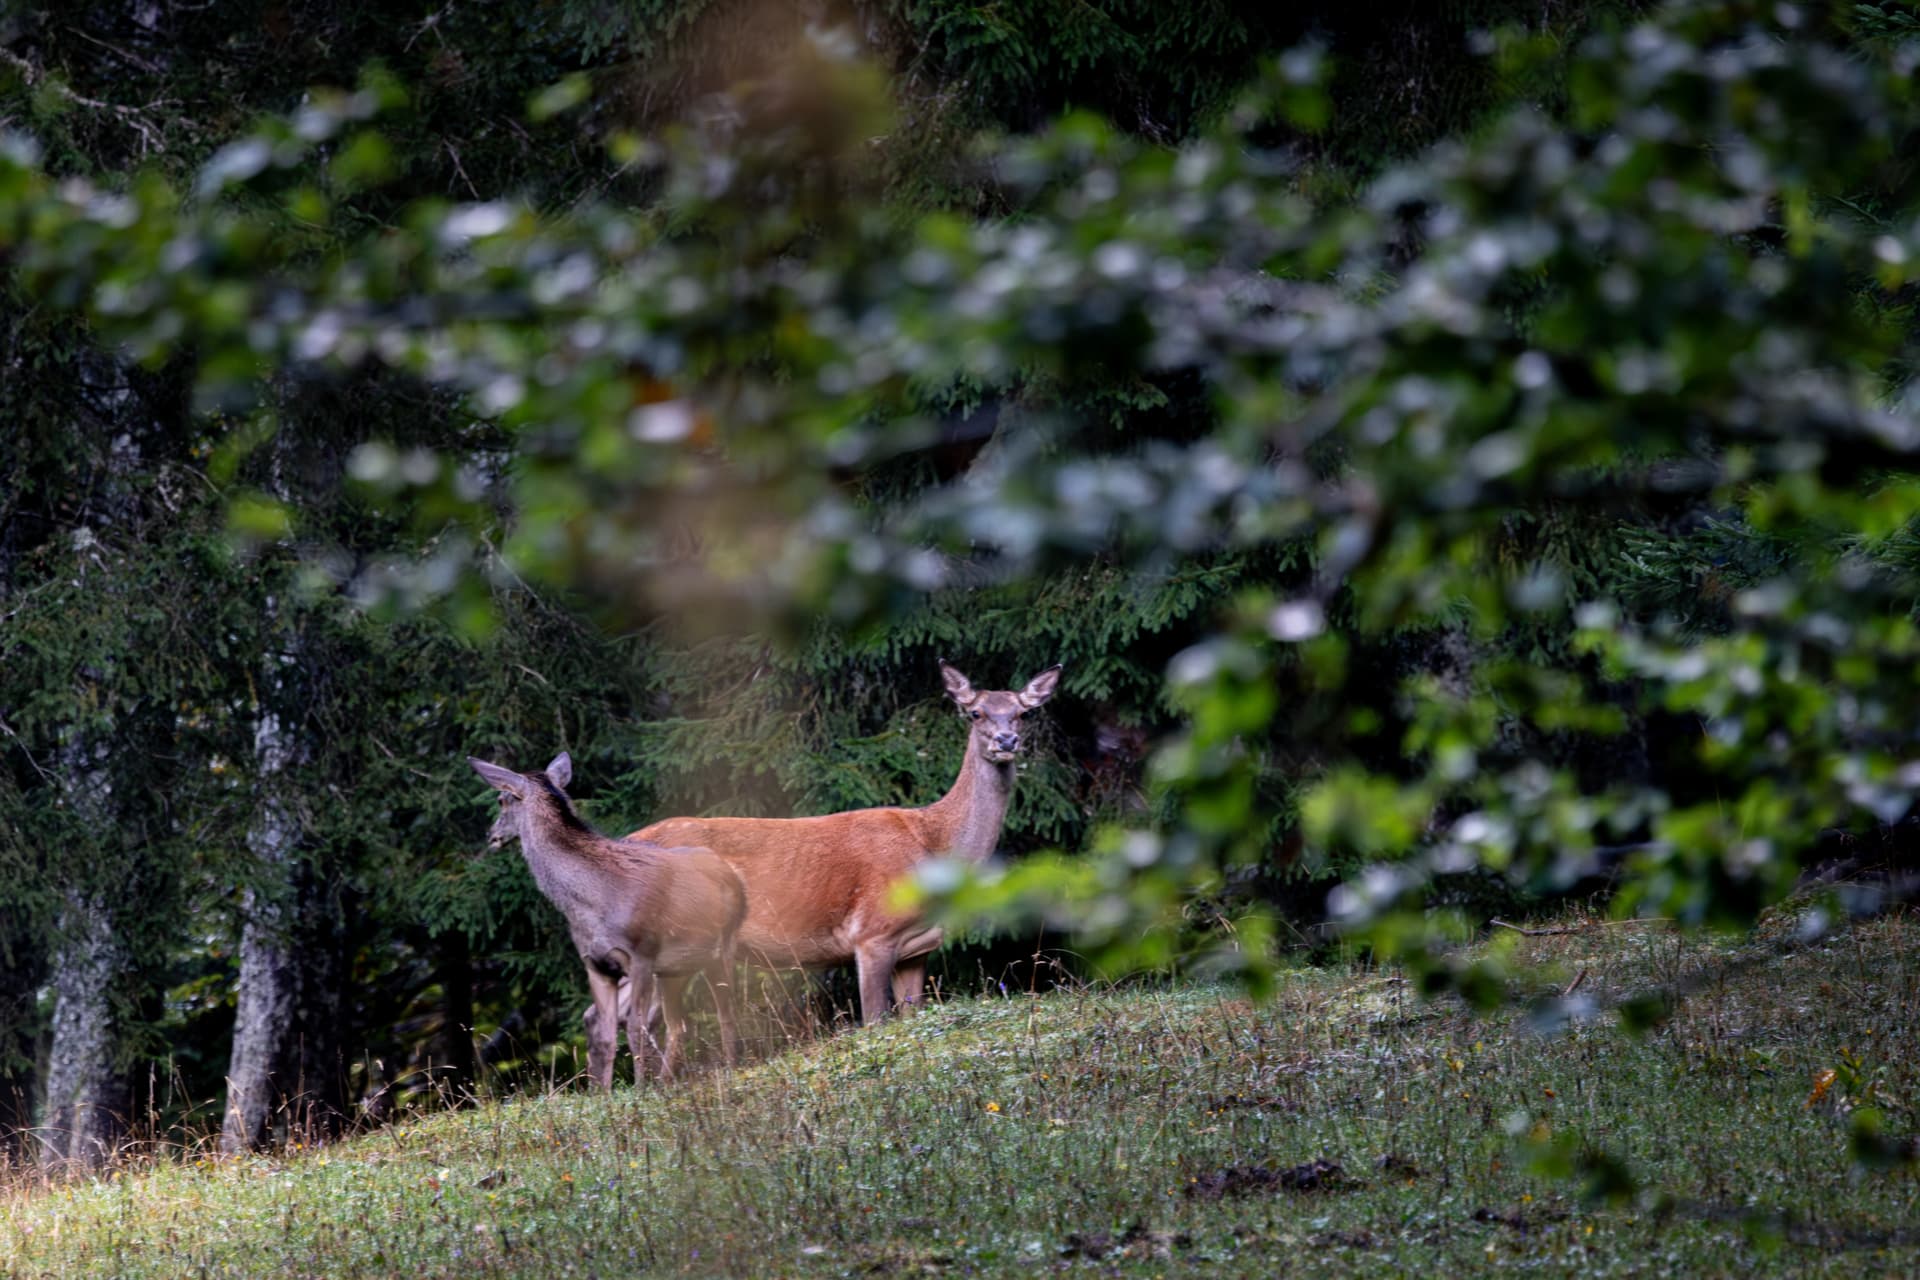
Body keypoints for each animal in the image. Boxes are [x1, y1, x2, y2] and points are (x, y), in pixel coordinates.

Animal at [467, 751, 743, 1086]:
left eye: (501, 799)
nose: (491, 835)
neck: (591, 902)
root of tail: (733, 876)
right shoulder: (595, 965)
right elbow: (605, 1035)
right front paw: (604, 1092)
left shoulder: (641, 956)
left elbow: (635, 1028)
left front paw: (641, 1088)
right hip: (676, 968)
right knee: (679, 1025)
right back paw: (667, 1081)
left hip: (723, 946)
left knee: (726, 1013)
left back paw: (729, 1069)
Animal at [622, 660, 1063, 1026]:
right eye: (975, 712)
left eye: (1024, 712)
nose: (1006, 740)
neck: (932, 844)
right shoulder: (871, 933)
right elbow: (875, 1021)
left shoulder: (916, 950)